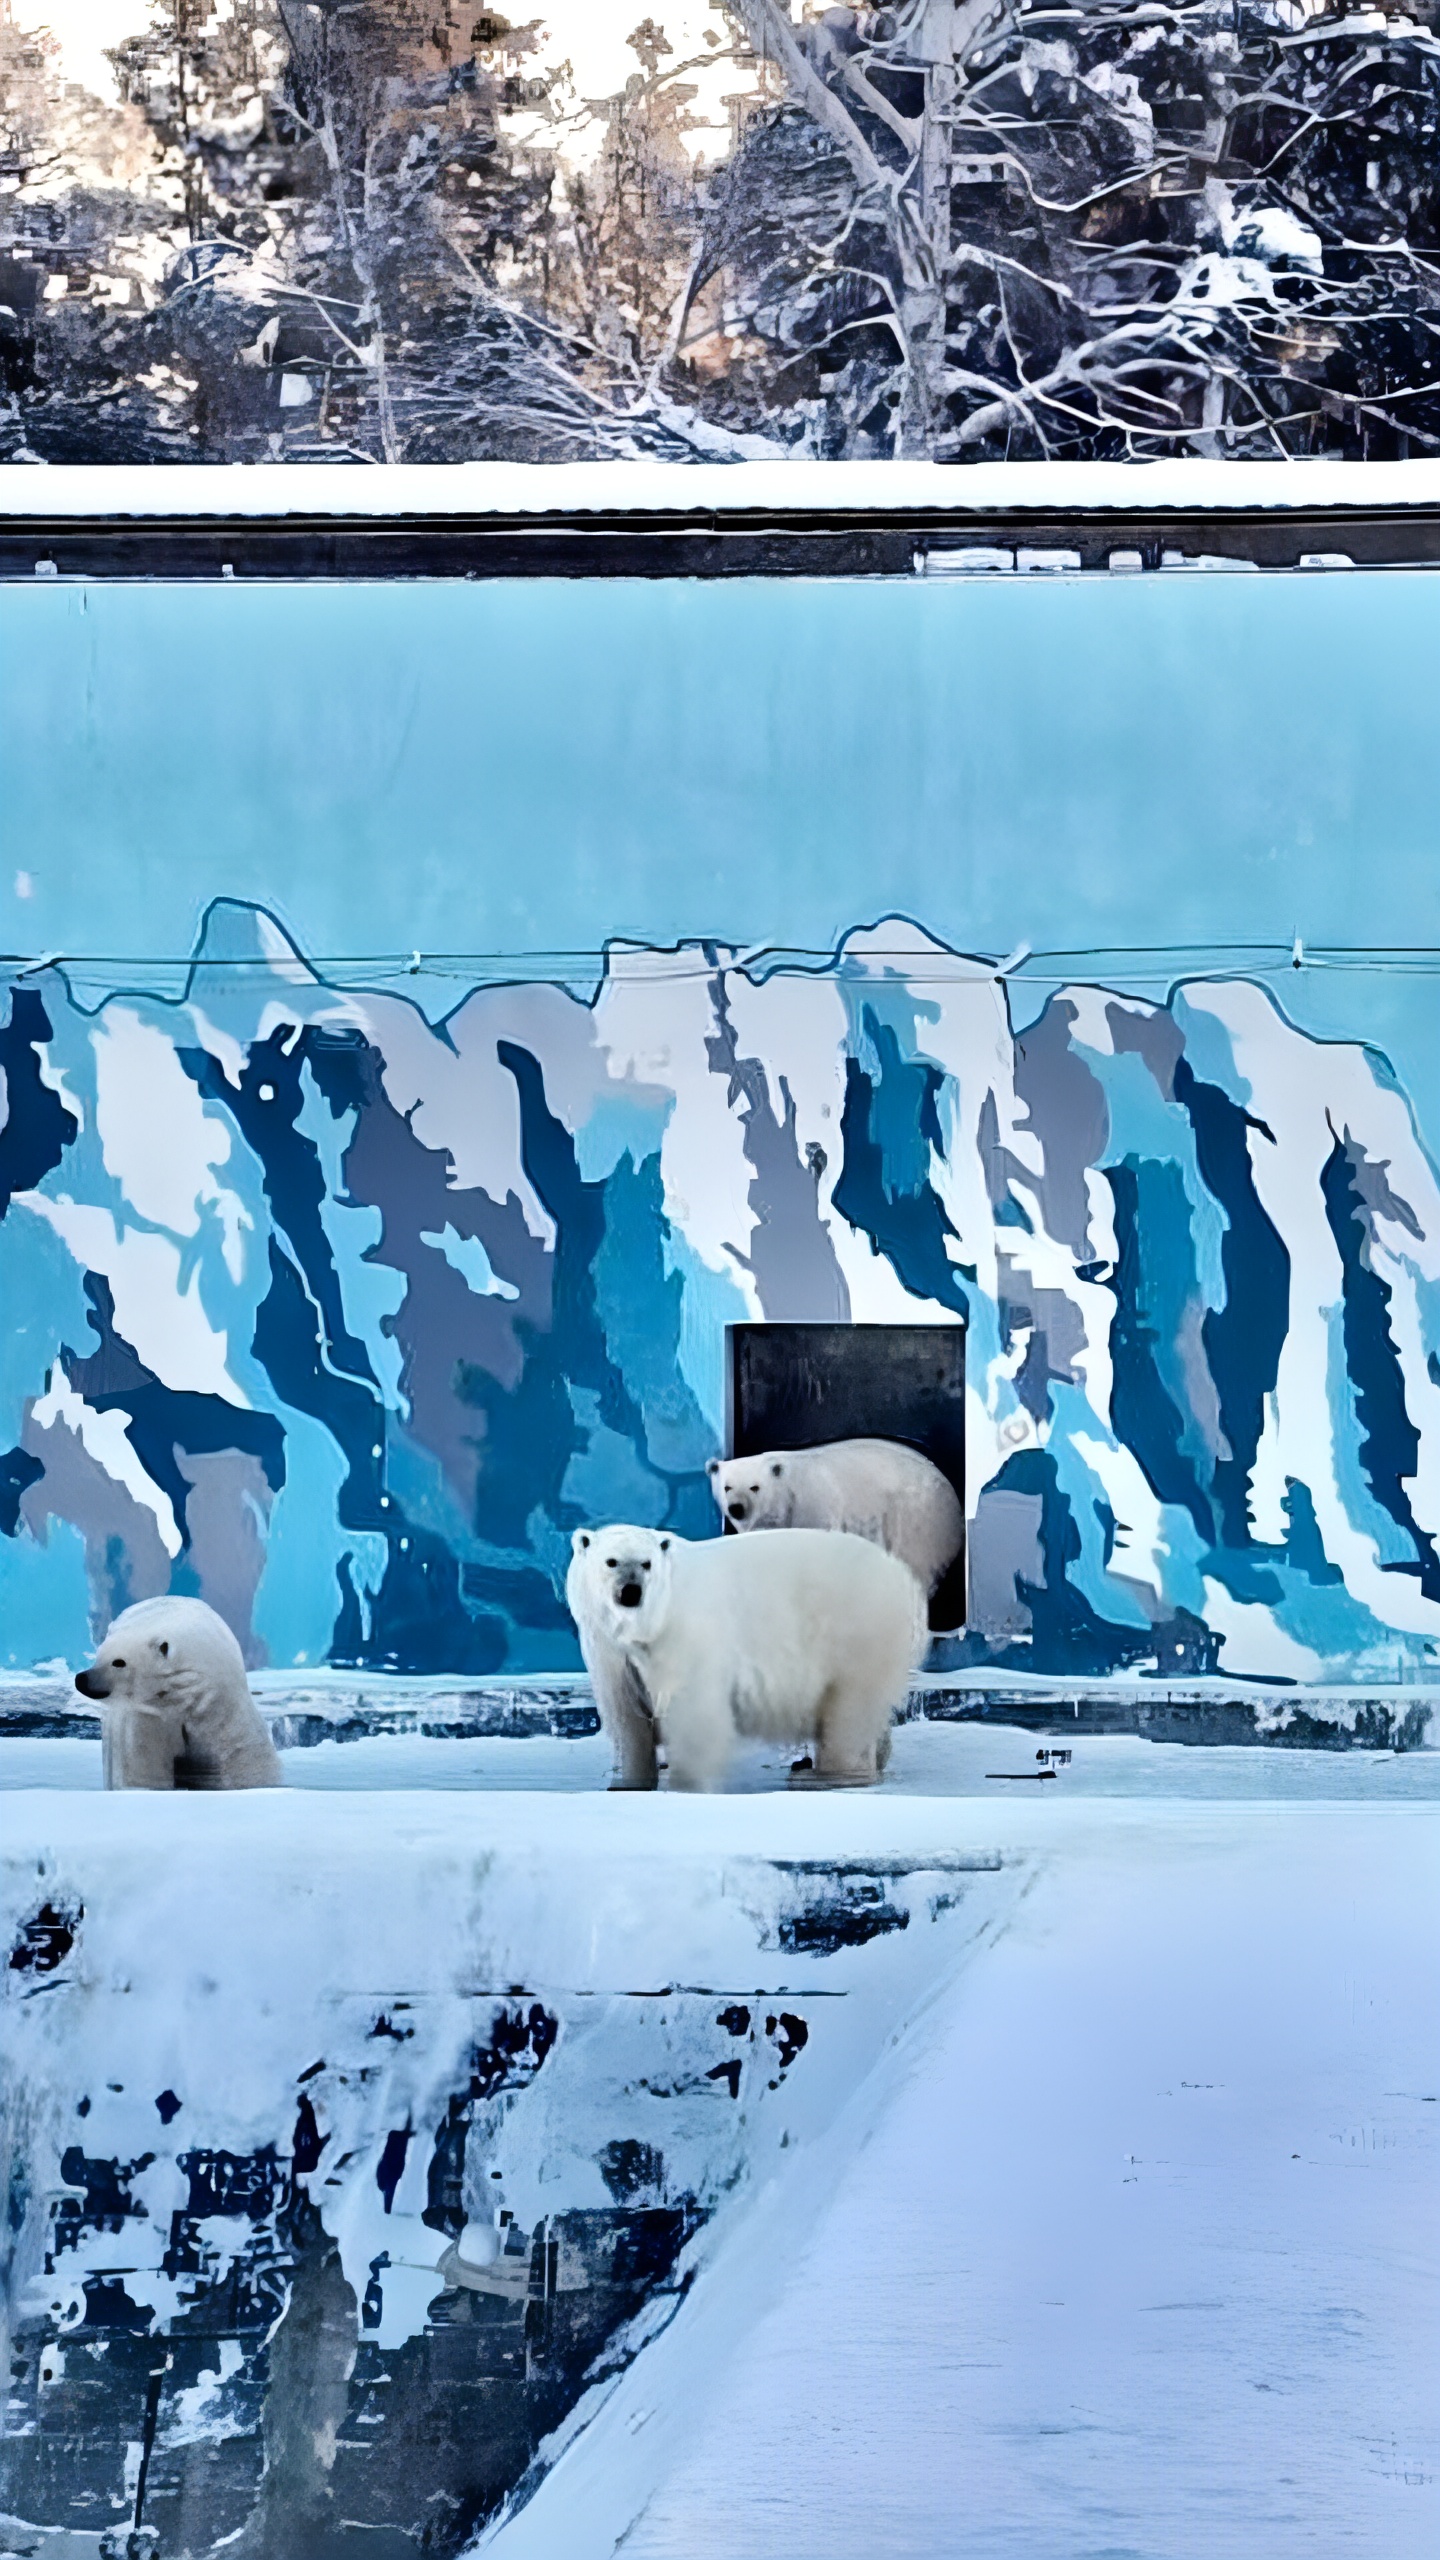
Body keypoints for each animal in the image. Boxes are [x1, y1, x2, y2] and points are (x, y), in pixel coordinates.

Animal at [73, 1587, 283, 1792]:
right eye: (99, 1655)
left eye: (118, 1662)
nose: (81, 1679)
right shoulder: (147, 1713)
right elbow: (143, 1760)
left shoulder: (219, 1705)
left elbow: (239, 1757)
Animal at [561, 1525, 917, 1792]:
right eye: (611, 1562)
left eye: (646, 1563)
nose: (631, 1592)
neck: (648, 1625)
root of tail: (902, 1575)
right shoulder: (606, 1649)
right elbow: (627, 1716)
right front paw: (627, 1784)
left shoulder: (687, 1632)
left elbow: (693, 1710)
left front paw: (686, 1785)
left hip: (856, 1632)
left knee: (849, 1711)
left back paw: (820, 1777)